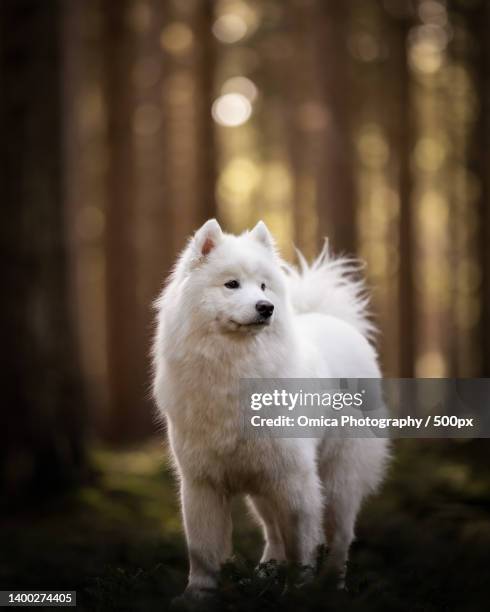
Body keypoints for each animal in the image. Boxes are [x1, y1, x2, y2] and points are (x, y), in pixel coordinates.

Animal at [151, 219, 388, 596]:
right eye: (232, 284)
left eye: (264, 286)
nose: (266, 307)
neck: (234, 370)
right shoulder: (202, 483)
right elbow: (203, 551)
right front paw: (198, 595)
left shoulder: (295, 479)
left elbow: (301, 547)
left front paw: (299, 591)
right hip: (261, 487)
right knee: (274, 533)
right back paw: (265, 574)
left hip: (338, 479)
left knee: (340, 538)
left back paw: (333, 587)